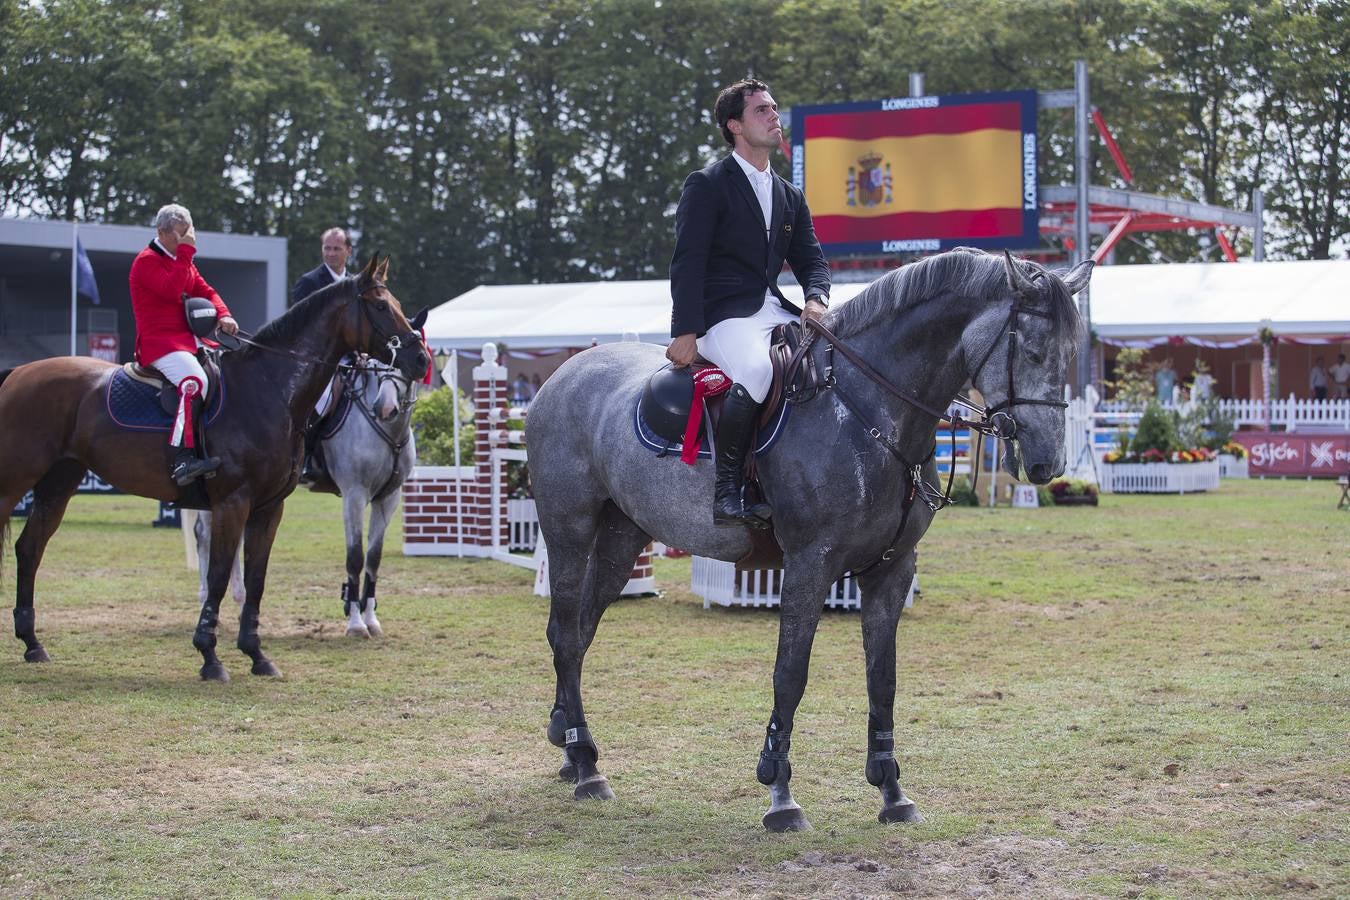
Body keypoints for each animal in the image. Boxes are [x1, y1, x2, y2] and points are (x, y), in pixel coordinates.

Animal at [0, 256, 426, 680]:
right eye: (380, 306)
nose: (419, 359)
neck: (269, 389)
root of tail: (17, 374)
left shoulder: (271, 507)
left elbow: (257, 578)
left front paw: (256, 654)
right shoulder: (239, 501)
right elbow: (221, 573)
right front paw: (210, 656)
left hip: (58, 484)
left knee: (30, 548)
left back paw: (33, 643)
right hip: (15, 481)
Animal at [526, 246, 1096, 831]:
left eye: (1072, 353)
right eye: (1033, 351)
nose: (1046, 464)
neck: (868, 411)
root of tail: (565, 373)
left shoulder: (892, 569)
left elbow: (882, 678)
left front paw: (892, 791)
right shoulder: (809, 564)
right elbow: (790, 673)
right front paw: (779, 791)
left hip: (622, 538)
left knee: (579, 631)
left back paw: (570, 746)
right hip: (570, 530)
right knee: (566, 633)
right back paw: (587, 765)